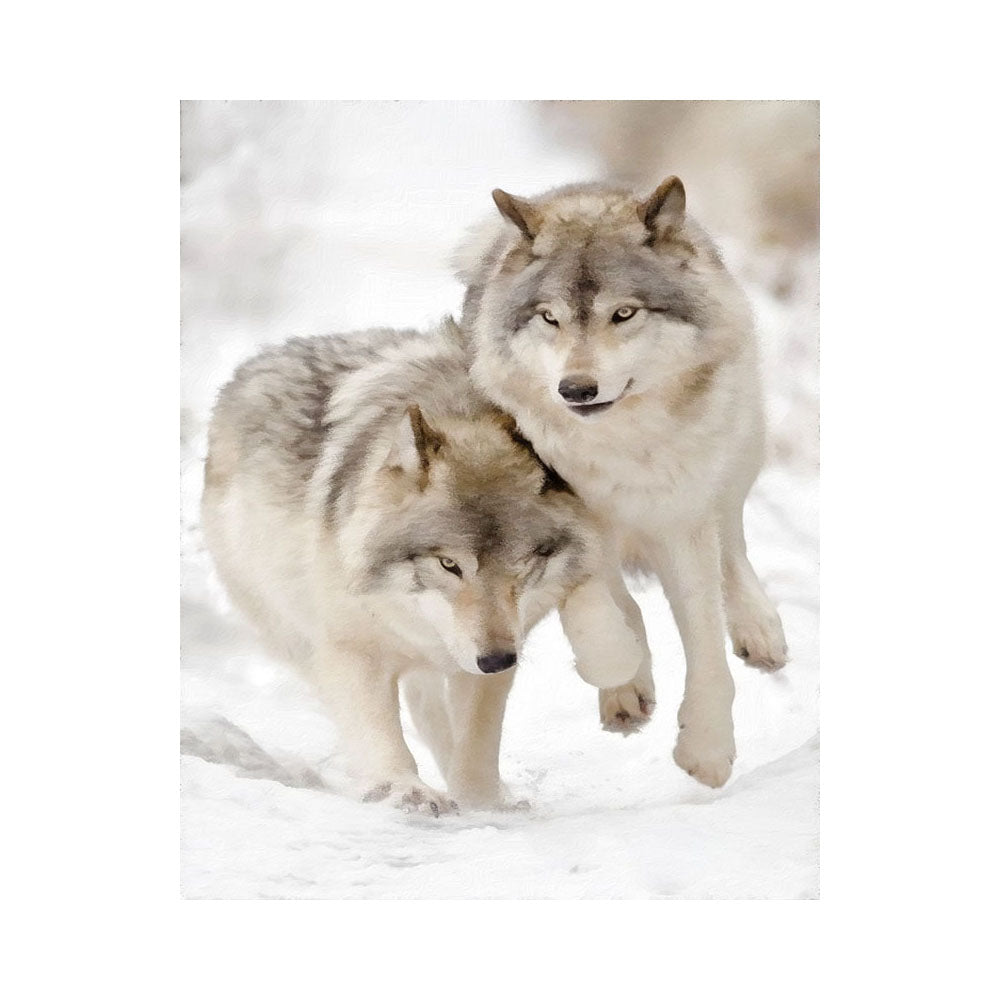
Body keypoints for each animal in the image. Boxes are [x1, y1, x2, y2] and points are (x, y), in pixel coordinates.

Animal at [201, 320, 641, 814]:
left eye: (524, 563)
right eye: (449, 564)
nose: (495, 659)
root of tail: (253, 364)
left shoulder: (495, 650)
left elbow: (476, 745)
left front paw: (484, 802)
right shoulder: (353, 650)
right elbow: (380, 734)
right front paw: (403, 789)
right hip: (297, 634)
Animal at [457, 177, 788, 788]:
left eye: (624, 313)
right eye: (550, 318)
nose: (575, 389)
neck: (620, 448)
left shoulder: (683, 517)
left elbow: (705, 639)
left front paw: (707, 750)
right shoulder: (564, 512)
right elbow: (598, 606)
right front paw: (620, 672)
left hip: (738, 455)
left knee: (733, 545)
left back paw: (760, 632)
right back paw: (627, 689)